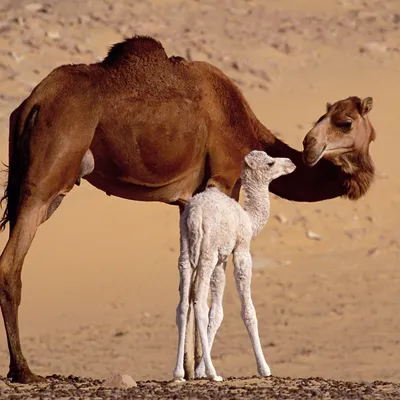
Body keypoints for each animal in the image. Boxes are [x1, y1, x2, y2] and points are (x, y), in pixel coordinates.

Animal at [0, 36, 376, 382]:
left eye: (343, 121)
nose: (310, 146)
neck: (242, 124)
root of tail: (32, 103)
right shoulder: (224, 179)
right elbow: (208, 288)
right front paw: (203, 368)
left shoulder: (189, 201)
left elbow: (190, 283)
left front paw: (191, 368)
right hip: (46, 179)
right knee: (10, 264)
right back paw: (24, 371)